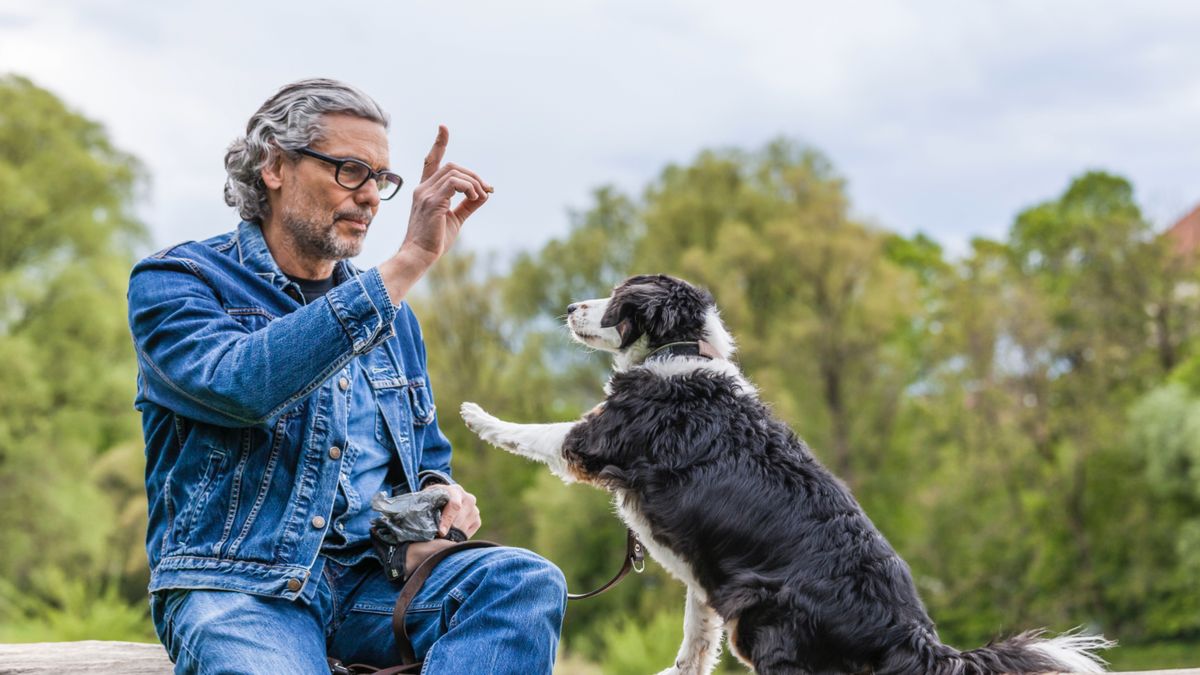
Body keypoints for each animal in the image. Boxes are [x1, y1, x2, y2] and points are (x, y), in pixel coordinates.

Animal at [458, 273, 1104, 672]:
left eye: (618, 296)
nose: (570, 308)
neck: (679, 351)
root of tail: (914, 635)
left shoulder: (594, 439)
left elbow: (532, 432)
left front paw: (475, 415)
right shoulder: (705, 580)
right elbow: (695, 643)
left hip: (767, 625)